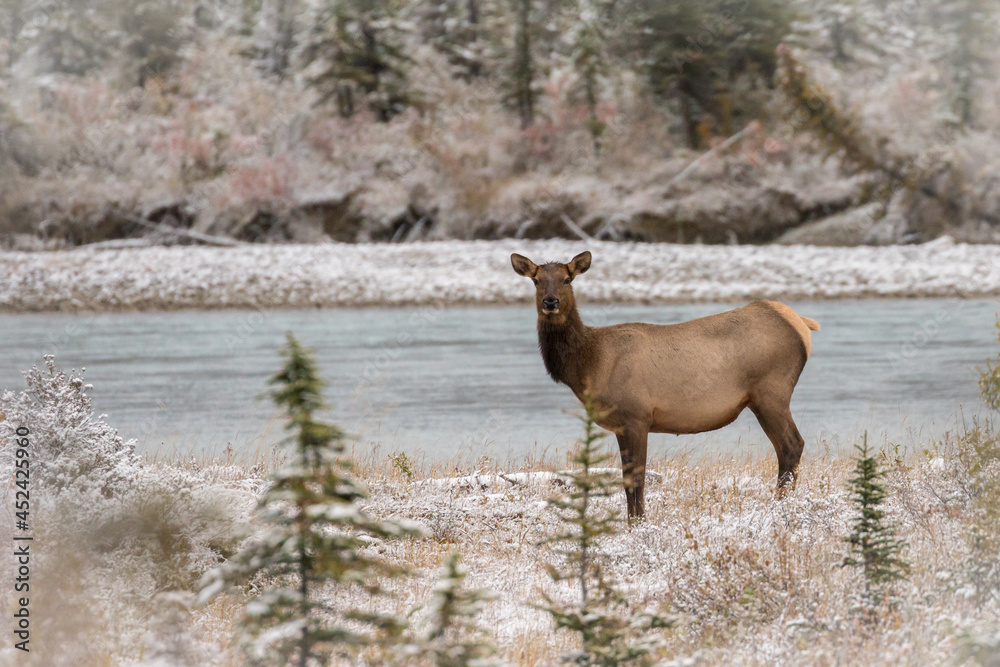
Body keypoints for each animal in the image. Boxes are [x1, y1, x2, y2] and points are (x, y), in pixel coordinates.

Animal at [511, 250, 820, 521]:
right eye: (536, 280)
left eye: (567, 279)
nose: (550, 302)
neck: (588, 364)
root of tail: (801, 324)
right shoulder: (622, 424)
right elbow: (628, 478)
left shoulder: (635, 416)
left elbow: (635, 478)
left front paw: (638, 524)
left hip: (772, 392)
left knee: (792, 445)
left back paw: (780, 505)